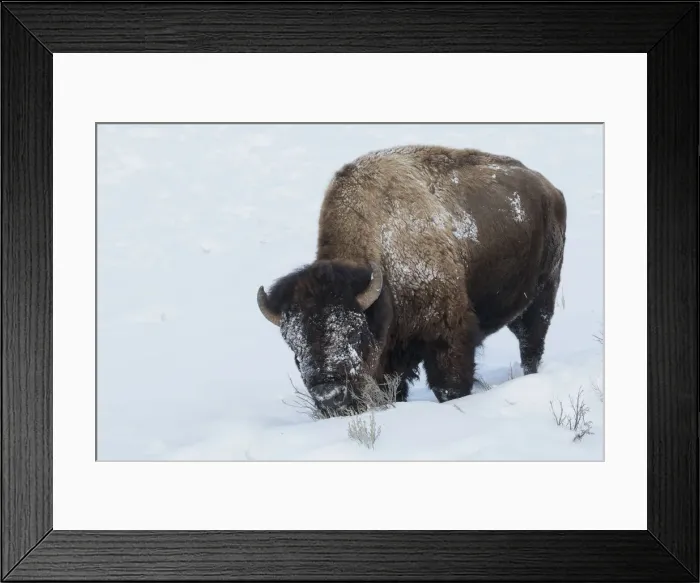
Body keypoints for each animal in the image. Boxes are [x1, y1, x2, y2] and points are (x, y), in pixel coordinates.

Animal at [256, 145, 567, 416]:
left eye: (353, 333)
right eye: (294, 347)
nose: (330, 397)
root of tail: (550, 189)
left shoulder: (448, 339)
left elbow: (450, 386)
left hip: (542, 296)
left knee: (531, 343)